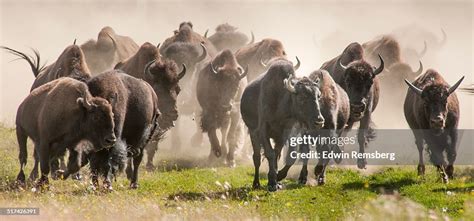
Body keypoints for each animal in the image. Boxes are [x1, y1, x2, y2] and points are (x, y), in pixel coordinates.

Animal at [241, 59, 326, 192]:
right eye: (302, 97)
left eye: (318, 96)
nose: (319, 121)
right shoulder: (263, 131)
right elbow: (270, 154)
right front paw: (272, 182)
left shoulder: (284, 134)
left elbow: (284, 155)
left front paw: (277, 178)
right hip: (252, 132)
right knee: (256, 158)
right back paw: (256, 183)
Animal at [320, 41, 384, 169]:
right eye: (348, 81)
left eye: (370, 83)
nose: (357, 106)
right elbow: (336, 134)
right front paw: (337, 156)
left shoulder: (366, 114)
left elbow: (361, 136)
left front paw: (362, 162)